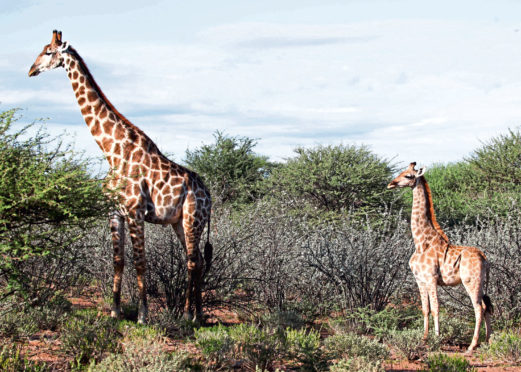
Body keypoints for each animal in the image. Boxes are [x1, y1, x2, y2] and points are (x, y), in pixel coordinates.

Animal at [29, 30, 213, 324]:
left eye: (48, 52)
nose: (31, 70)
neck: (111, 151)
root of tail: (209, 195)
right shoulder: (114, 212)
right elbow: (119, 260)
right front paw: (115, 311)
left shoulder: (135, 212)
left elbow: (140, 262)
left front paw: (142, 315)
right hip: (178, 222)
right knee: (195, 261)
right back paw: (197, 314)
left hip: (192, 219)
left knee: (193, 261)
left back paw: (188, 314)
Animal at [386, 162, 492, 352]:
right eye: (402, 172)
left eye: (408, 176)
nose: (391, 184)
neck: (421, 242)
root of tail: (484, 258)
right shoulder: (420, 280)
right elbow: (425, 309)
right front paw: (424, 338)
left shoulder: (431, 278)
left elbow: (435, 308)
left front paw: (436, 339)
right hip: (480, 283)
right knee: (486, 306)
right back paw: (487, 341)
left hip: (471, 281)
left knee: (478, 308)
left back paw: (472, 345)